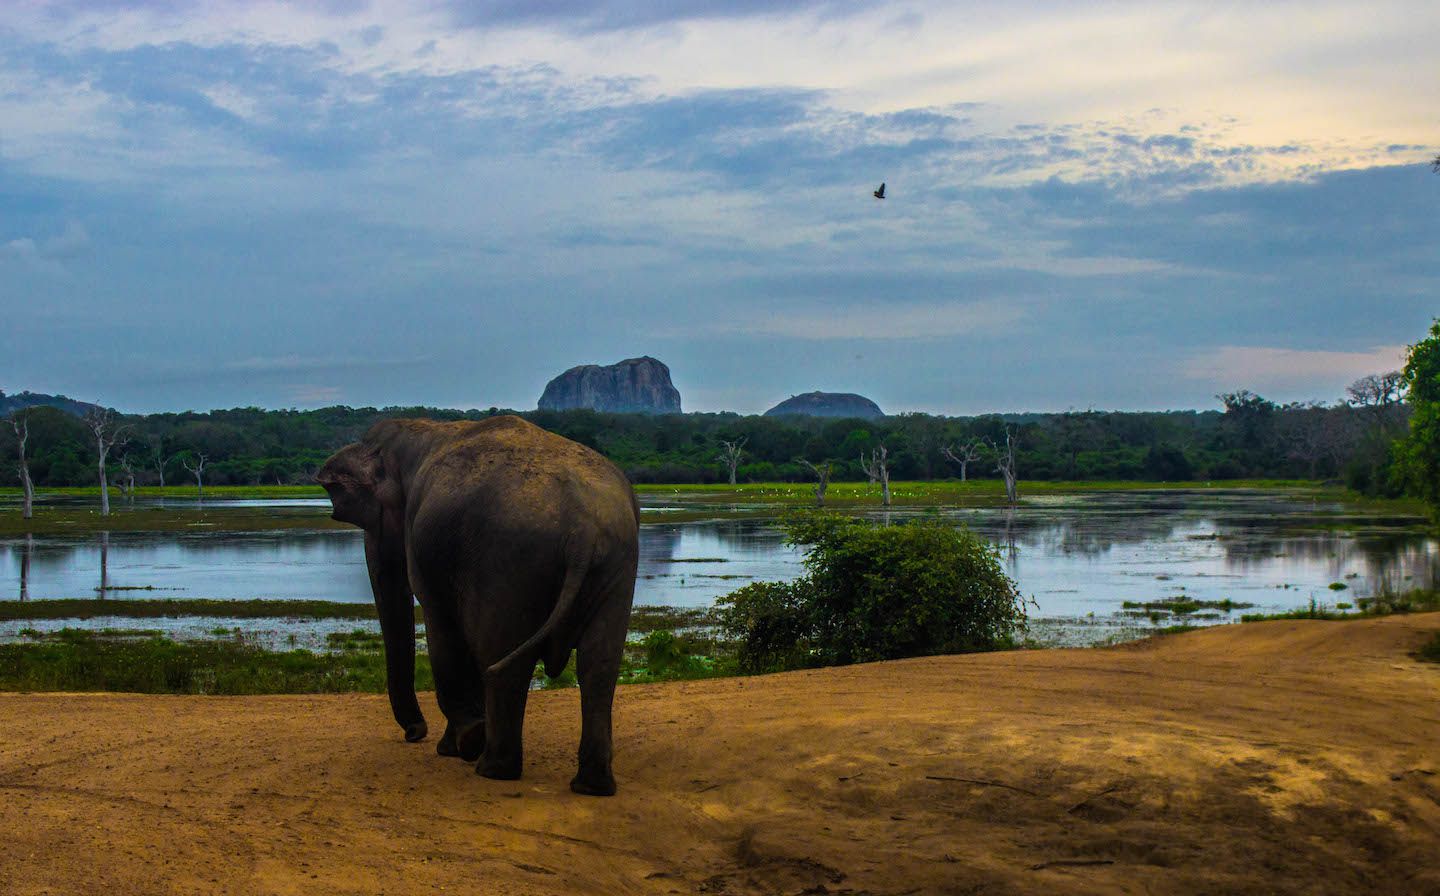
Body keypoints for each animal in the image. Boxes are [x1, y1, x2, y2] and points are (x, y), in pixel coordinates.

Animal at [316, 415, 639, 796]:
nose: (414, 734)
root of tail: (582, 530)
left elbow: (442, 629)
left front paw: (460, 744)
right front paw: (455, 744)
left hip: (509, 562)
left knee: (502, 658)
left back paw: (491, 768)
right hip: (616, 561)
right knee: (599, 665)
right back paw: (591, 786)